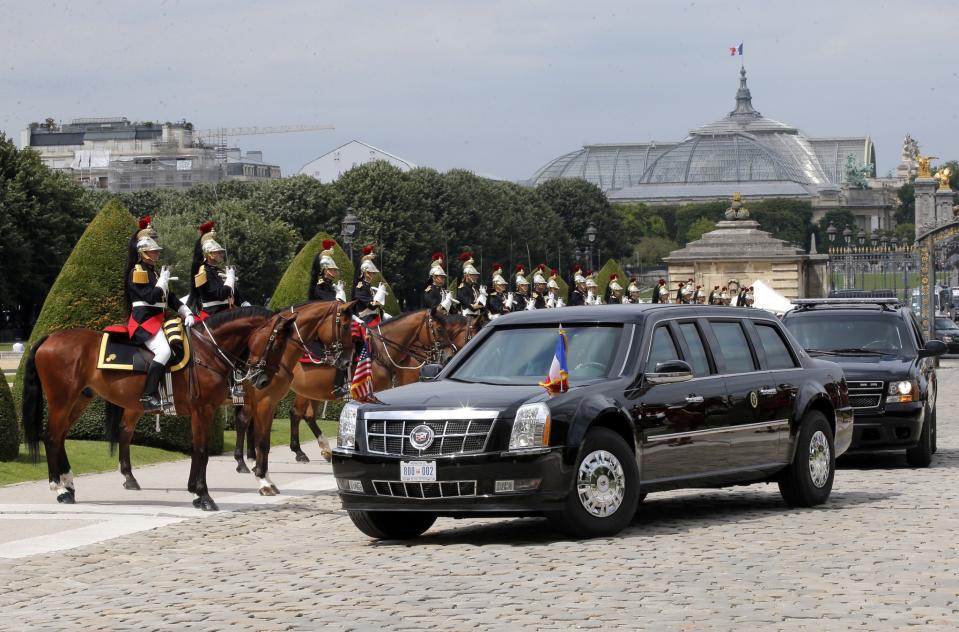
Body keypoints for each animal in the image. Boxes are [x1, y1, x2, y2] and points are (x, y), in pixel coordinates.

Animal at [22, 308, 300, 512]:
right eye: (277, 344)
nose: (263, 381)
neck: (208, 351)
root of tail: (50, 337)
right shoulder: (205, 409)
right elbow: (203, 450)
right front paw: (205, 495)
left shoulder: (207, 410)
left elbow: (198, 449)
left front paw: (196, 492)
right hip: (62, 400)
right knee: (51, 437)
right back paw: (59, 488)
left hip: (80, 400)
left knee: (60, 437)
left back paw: (68, 485)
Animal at [280, 312, 488, 464]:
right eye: (438, 329)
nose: (449, 355)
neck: (383, 350)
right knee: (297, 413)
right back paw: (300, 451)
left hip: (312, 390)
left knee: (305, 414)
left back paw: (322, 450)